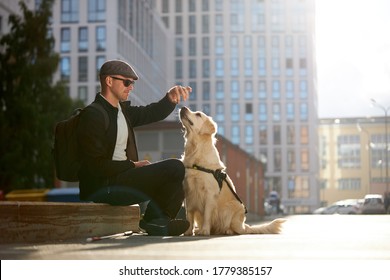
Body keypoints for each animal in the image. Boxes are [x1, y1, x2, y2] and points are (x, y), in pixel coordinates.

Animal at [179, 107, 284, 236]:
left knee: (236, 229)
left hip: (233, 206)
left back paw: (227, 230)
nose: (183, 108)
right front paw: (188, 231)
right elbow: (189, 215)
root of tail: (244, 225)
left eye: (198, 114)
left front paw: (204, 230)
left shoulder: (210, 193)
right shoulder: (188, 192)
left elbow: (207, 214)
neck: (196, 150)